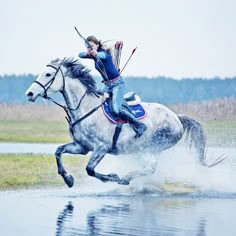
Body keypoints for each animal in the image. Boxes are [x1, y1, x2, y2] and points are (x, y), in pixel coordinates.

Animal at [24, 58, 226, 187]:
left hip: (152, 146)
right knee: (149, 168)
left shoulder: (101, 148)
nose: (29, 94)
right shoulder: (82, 147)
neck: (85, 108)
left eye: (48, 74)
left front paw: (111, 177)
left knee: (150, 168)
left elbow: (90, 169)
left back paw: (124, 178)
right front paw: (68, 179)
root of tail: (177, 117)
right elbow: (59, 151)